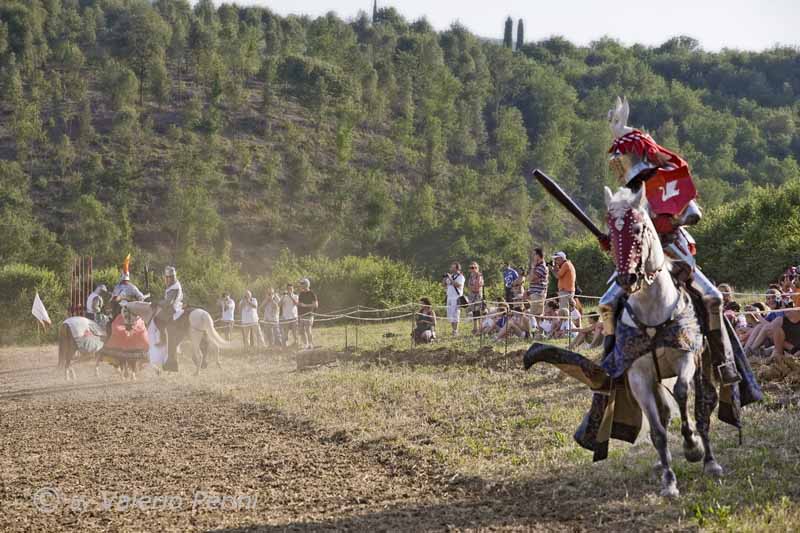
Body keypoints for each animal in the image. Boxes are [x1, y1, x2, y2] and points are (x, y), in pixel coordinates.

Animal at [608, 185, 720, 496]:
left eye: (638, 228)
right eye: (609, 233)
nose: (627, 278)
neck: (653, 309)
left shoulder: (686, 359)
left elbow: (682, 393)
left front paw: (692, 446)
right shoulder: (638, 377)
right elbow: (657, 429)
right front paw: (669, 481)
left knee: (702, 408)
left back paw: (709, 460)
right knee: (664, 413)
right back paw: (663, 463)